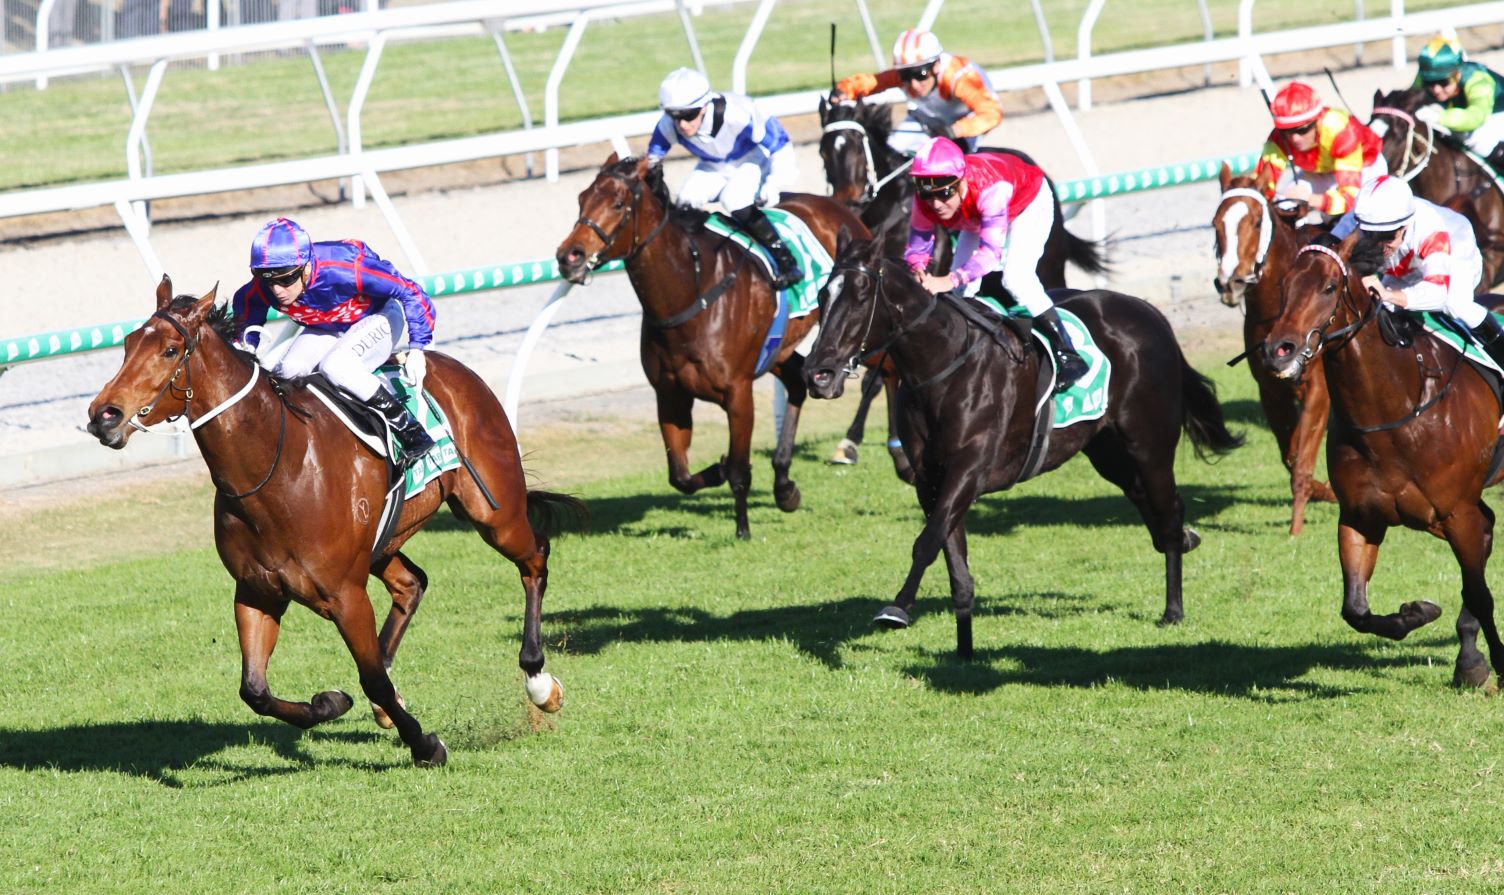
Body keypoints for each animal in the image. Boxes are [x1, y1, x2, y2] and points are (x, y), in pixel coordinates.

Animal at [85, 278, 587, 767]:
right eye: (127, 344)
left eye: (170, 350)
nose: (102, 415)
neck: (277, 467)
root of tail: (457, 369)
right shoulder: (257, 591)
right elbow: (255, 690)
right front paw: (330, 703)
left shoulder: (346, 595)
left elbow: (370, 677)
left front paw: (425, 745)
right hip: (386, 540)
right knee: (412, 583)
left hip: (494, 512)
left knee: (534, 558)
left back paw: (540, 682)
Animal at [555, 153, 868, 540]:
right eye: (582, 198)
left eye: (617, 203)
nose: (569, 256)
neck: (691, 295)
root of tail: (837, 206)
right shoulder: (670, 395)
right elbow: (681, 476)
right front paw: (718, 471)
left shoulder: (738, 394)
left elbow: (739, 469)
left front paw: (743, 530)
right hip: (776, 349)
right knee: (798, 381)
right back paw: (785, 487)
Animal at [804, 232, 1243, 658]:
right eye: (823, 295)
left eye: (861, 294)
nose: (817, 374)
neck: (942, 366)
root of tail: (1152, 315)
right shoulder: (931, 480)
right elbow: (954, 561)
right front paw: (965, 650)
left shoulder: (968, 470)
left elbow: (926, 543)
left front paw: (896, 609)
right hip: (1107, 452)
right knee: (1147, 503)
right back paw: (1186, 539)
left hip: (1149, 446)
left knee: (1169, 511)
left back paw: (1173, 608)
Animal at [1212, 163, 1335, 535]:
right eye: (1215, 223)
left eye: (1255, 222)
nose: (1231, 282)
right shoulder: (1270, 389)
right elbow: (1292, 454)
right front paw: (1323, 490)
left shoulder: (1319, 389)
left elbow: (1301, 458)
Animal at [1259, 237, 1504, 688]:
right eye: (1283, 285)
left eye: (1329, 287)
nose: (1277, 351)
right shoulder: (1361, 516)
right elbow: (1356, 609)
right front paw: (1419, 613)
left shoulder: (1457, 513)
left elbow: (1478, 591)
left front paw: (1491, 661)